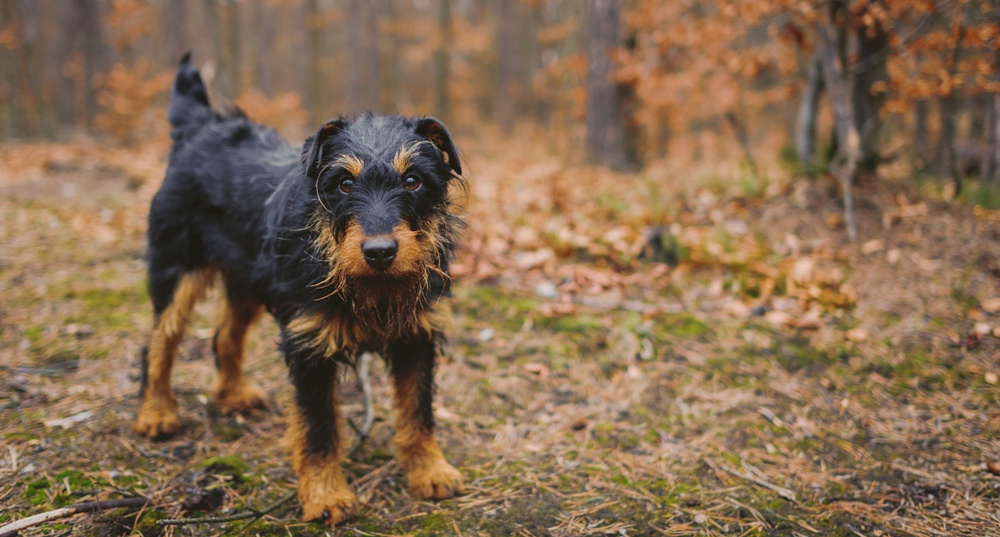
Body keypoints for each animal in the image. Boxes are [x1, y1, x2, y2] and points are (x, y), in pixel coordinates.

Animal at [134, 54, 468, 524]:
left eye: (413, 181)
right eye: (344, 183)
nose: (380, 252)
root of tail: (200, 126)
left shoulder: (416, 337)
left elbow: (418, 410)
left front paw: (429, 471)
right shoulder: (309, 347)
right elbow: (319, 428)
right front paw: (326, 495)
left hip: (247, 281)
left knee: (224, 336)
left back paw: (233, 394)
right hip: (175, 270)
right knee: (159, 342)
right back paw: (157, 412)